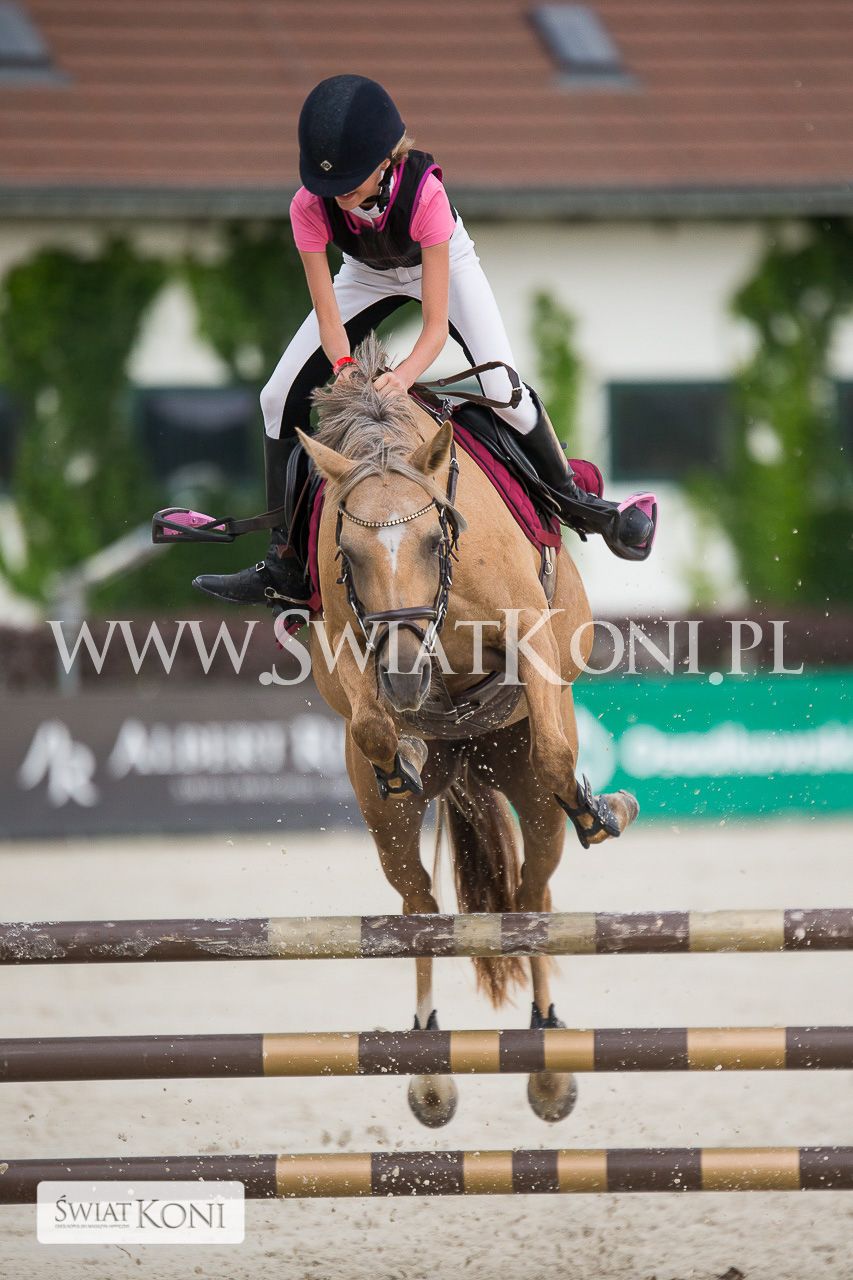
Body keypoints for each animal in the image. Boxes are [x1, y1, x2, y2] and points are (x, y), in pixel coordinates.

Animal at [294, 335, 639, 1127]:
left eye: (431, 538)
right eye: (348, 555)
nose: (404, 679)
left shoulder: (531, 639)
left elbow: (556, 752)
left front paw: (603, 805)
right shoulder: (342, 648)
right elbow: (368, 723)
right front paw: (402, 747)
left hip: (524, 790)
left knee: (534, 891)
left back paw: (548, 1057)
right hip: (389, 832)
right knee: (418, 903)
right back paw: (428, 1063)